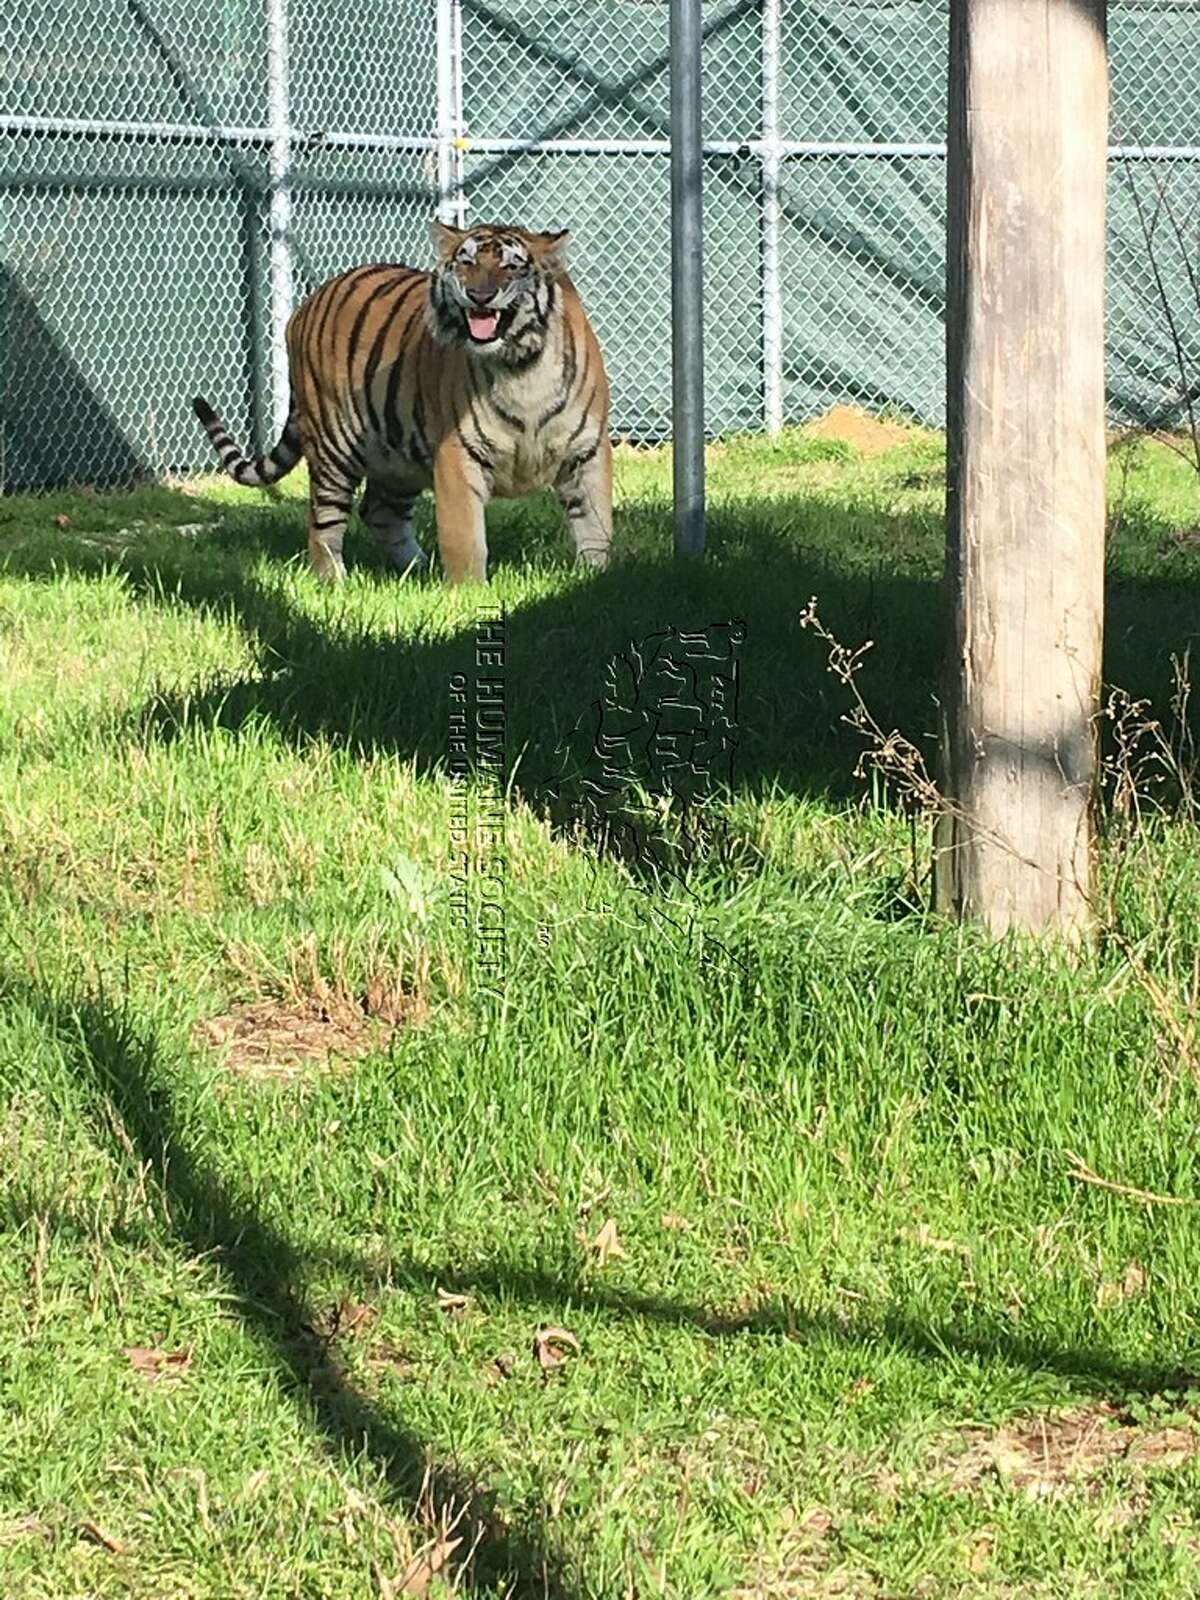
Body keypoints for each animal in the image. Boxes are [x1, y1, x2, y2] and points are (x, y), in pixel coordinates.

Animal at [192, 221, 612, 584]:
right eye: (466, 261)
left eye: (511, 265)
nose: (479, 296)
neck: (521, 367)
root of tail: (304, 306)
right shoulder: (457, 453)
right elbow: (465, 536)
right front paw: (468, 592)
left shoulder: (588, 450)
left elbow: (596, 523)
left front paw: (595, 578)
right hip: (334, 448)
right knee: (323, 521)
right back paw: (335, 580)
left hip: (399, 453)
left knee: (379, 512)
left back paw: (418, 570)